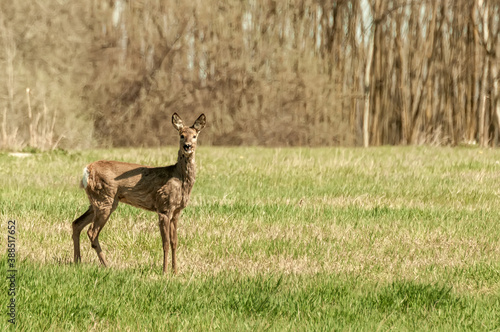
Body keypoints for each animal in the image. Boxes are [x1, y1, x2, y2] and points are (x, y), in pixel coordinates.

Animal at [71, 113, 206, 274]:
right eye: (181, 135)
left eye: (194, 136)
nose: (187, 146)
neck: (179, 177)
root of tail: (87, 170)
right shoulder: (164, 207)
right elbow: (165, 242)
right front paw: (165, 272)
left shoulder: (176, 211)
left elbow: (174, 242)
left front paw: (176, 271)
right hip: (105, 199)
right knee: (92, 232)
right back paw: (107, 265)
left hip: (97, 201)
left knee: (76, 223)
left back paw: (77, 262)